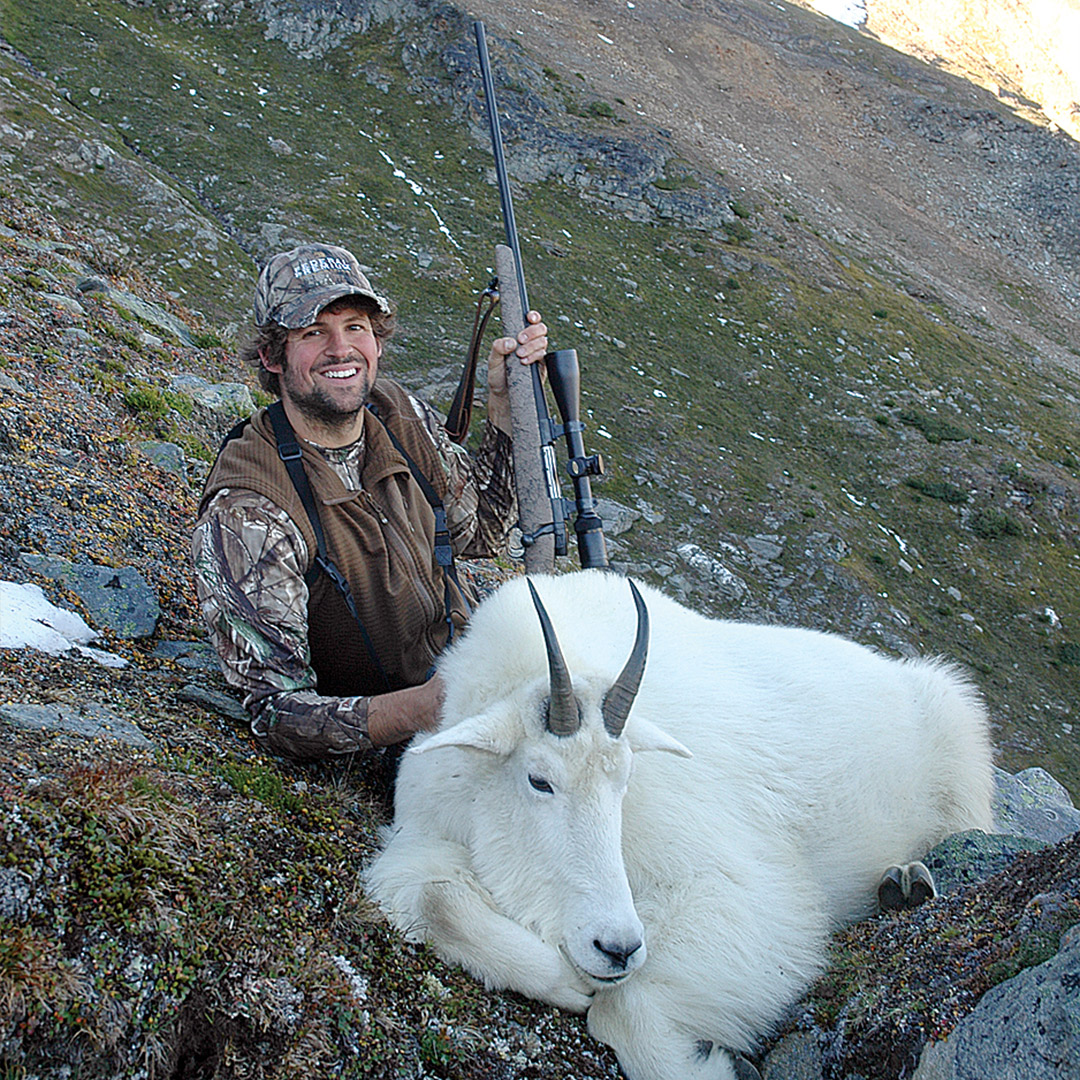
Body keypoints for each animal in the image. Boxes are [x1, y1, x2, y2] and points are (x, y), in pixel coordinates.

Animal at [364, 570, 994, 1080]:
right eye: (540, 780)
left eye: (626, 779)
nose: (615, 947)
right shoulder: (426, 836)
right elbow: (435, 899)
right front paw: (567, 980)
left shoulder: (734, 887)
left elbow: (619, 1009)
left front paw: (710, 1064)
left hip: (963, 746)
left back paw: (908, 882)